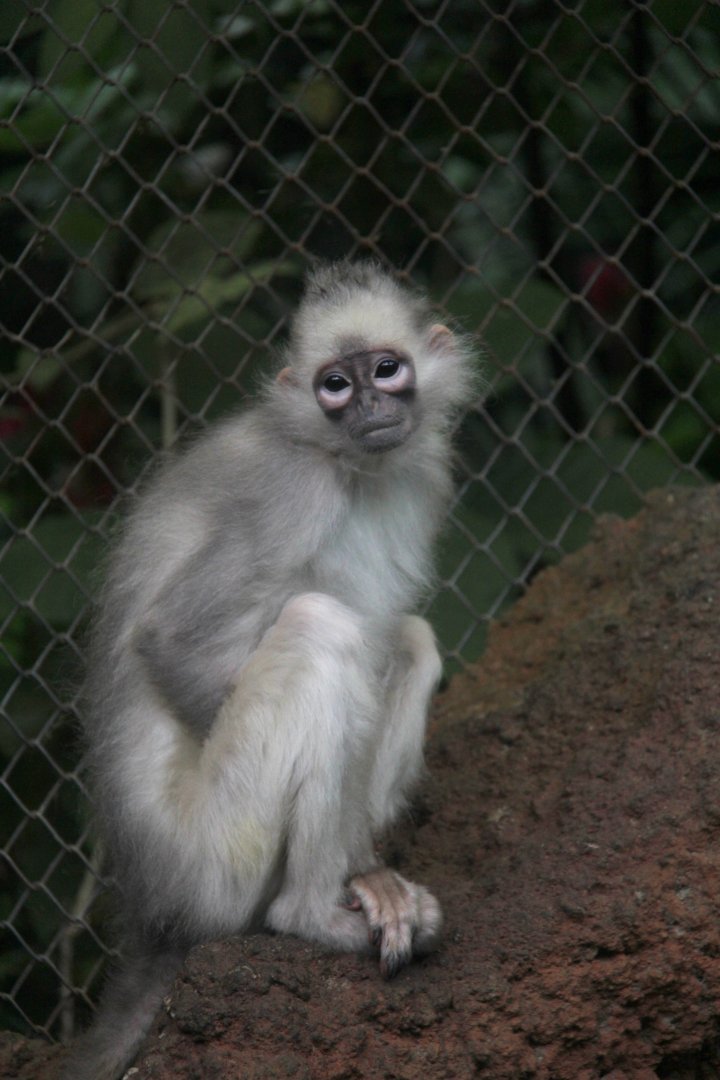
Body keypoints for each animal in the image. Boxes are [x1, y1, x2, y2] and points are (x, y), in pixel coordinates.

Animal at [63, 260, 476, 1080]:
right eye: (335, 385)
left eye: (386, 369)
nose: (369, 404)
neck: (350, 467)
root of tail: (153, 916)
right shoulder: (290, 491)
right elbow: (171, 640)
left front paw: (368, 873)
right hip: (215, 859)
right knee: (322, 629)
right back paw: (310, 912)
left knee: (407, 641)